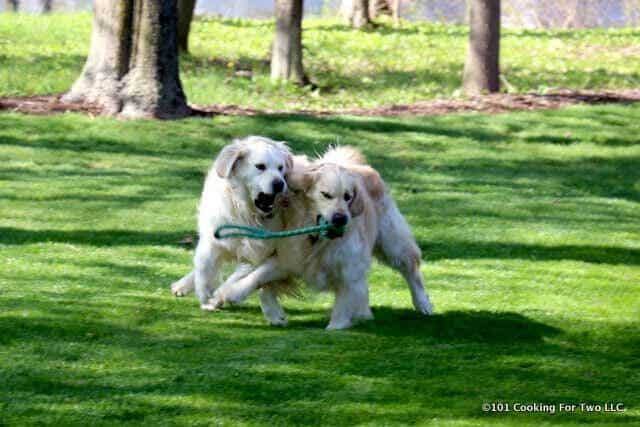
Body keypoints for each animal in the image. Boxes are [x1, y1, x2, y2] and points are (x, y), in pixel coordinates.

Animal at [169, 135, 292, 310]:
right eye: (260, 166)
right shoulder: (213, 237)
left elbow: (248, 276)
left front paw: (222, 296)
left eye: (281, 168)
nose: (279, 184)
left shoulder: (265, 251)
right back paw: (182, 285)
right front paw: (204, 293)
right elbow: (203, 265)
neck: (247, 213)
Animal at [208, 145, 432, 330]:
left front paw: (336, 327)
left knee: (412, 271)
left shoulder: (349, 267)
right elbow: (258, 276)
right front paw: (233, 292)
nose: (341, 218)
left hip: (392, 244)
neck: (317, 240)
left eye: (348, 197)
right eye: (326, 195)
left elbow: (344, 300)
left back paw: (423, 304)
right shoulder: (289, 258)